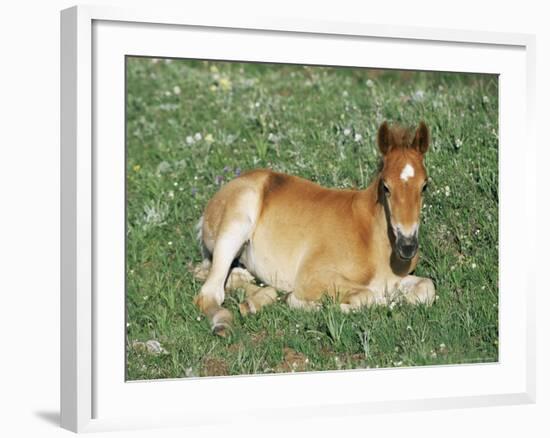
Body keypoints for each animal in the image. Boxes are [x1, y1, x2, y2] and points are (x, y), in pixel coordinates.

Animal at [194, 121, 436, 334]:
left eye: (424, 185)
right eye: (386, 186)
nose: (407, 246)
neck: (372, 238)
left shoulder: (395, 280)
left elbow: (427, 287)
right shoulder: (312, 277)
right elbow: (368, 295)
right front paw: (309, 304)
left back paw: (254, 301)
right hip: (237, 222)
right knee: (209, 293)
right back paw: (224, 323)